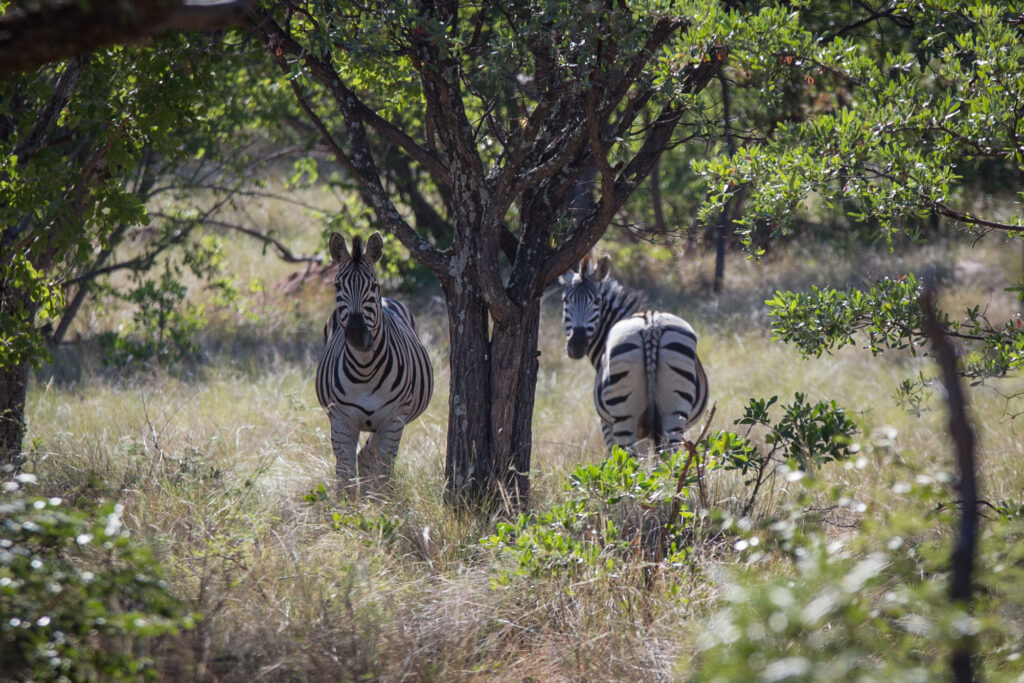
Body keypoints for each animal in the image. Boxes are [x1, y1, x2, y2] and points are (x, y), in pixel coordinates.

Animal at [315, 231, 433, 493]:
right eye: (337, 286)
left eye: (373, 286)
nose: (357, 335)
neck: (365, 370)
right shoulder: (341, 419)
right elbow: (345, 475)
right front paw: (348, 504)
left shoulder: (394, 419)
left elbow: (385, 470)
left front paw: (383, 502)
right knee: (363, 456)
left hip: (387, 422)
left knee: (371, 457)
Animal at [560, 253, 709, 454]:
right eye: (566, 301)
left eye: (596, 301)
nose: (576, 344)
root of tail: (651, 326)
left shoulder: (607, 426)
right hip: (674, 413)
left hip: (624, 416)